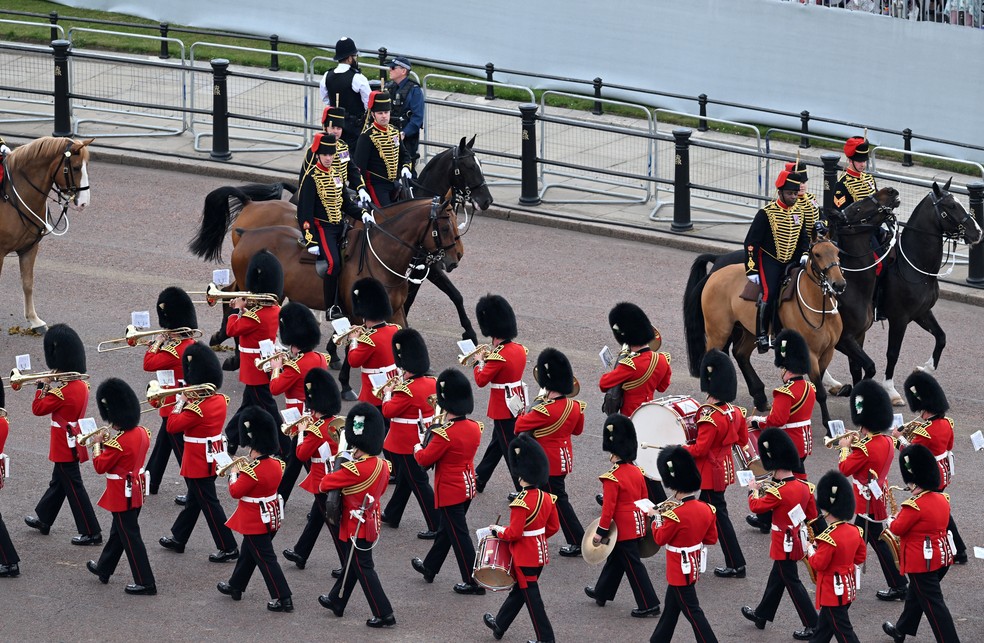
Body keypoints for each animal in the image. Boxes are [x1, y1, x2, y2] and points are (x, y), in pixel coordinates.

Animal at [0, 138, 93, 334]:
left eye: (86, 166)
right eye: (75, 167)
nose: (84, 203)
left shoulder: (29, 248)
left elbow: (27, 283)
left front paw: (34, 320)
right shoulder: (0, 253)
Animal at [684, 239, 844, 430]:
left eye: (837, 252)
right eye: (818, 254)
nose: (839, 284)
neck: (819, 308)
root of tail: (714, 274)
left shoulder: (828, 351)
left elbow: (815, 382)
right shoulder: (810, 353)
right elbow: (819, 390)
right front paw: (828, 424)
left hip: (749, 331)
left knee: (740, 354)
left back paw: (759, 398)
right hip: (719, 332)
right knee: (713, 358)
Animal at [880, 179, 980, 406]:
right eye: (951, 206)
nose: (978, 232)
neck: (915, 266)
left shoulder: (922, 312)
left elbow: (941, 337)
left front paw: (925, 368)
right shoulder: (899, 318)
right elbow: (893, 352)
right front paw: (890, 390)